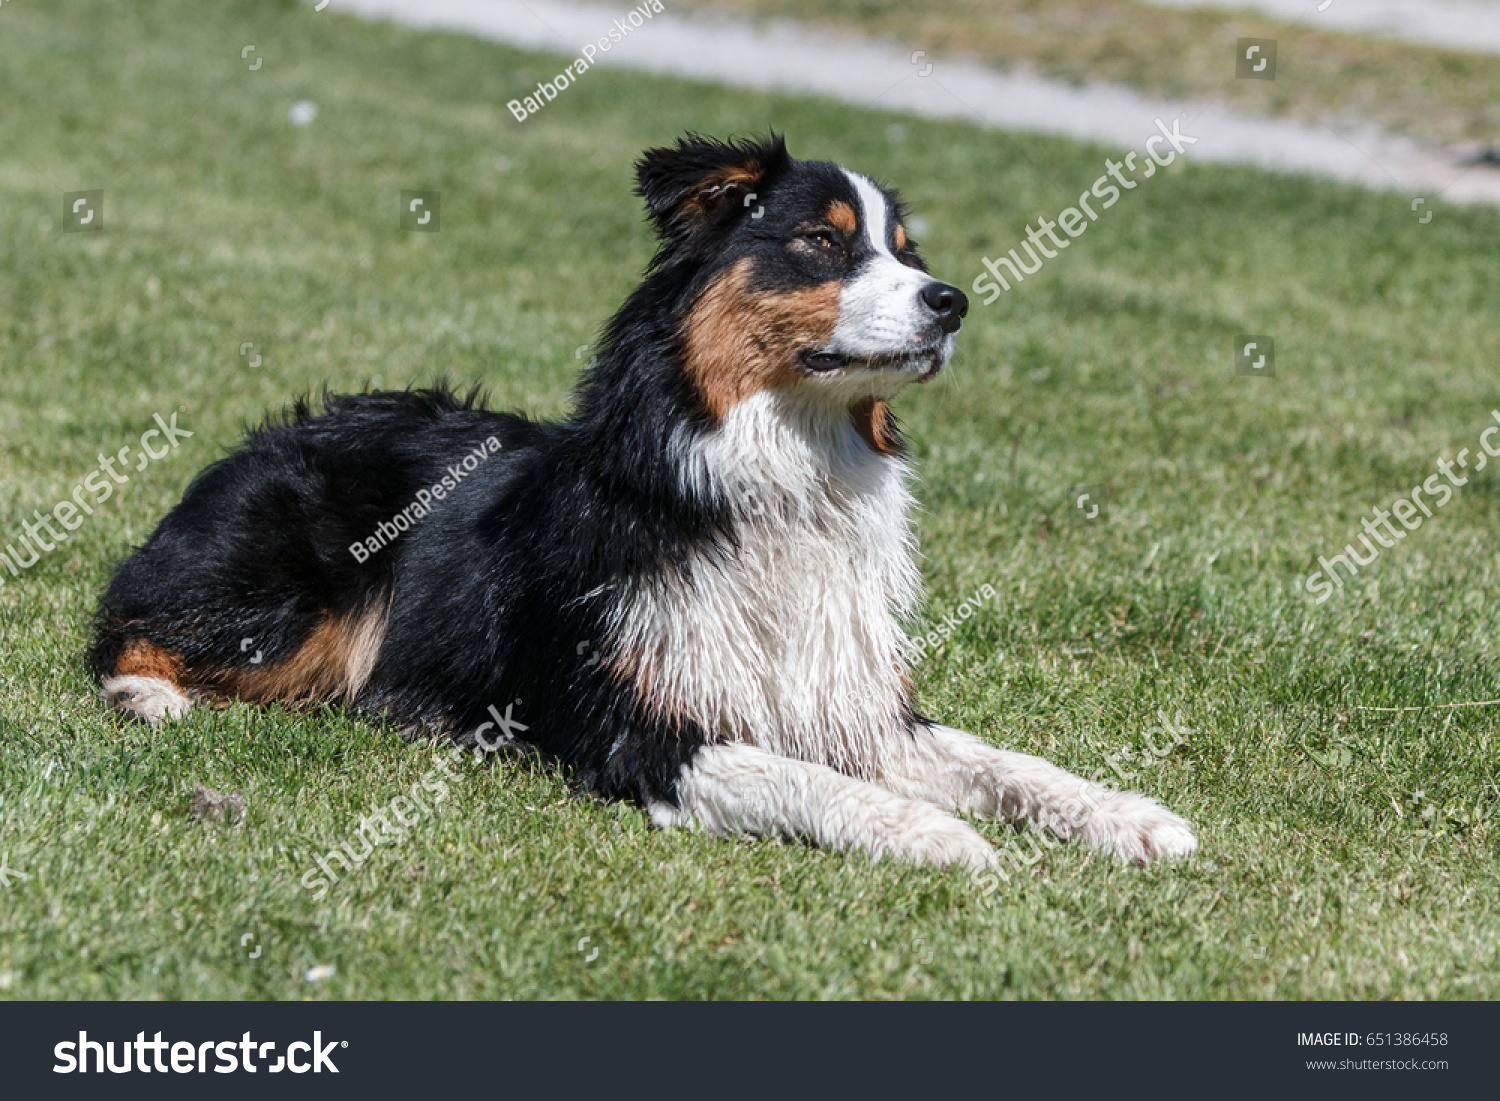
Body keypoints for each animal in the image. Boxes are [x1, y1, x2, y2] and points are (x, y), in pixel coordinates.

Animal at [90, 135, 1194, 870]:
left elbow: (1005, 761)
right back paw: (149, 695)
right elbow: (802, 779)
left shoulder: (852, 702)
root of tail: (270, 432)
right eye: (821, 242)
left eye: (907, 251)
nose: (953, 301)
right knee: (125, 626)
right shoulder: (627, 724)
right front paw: (934, 833)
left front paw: (1131, 816)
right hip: (289, 606)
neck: (778, 480)